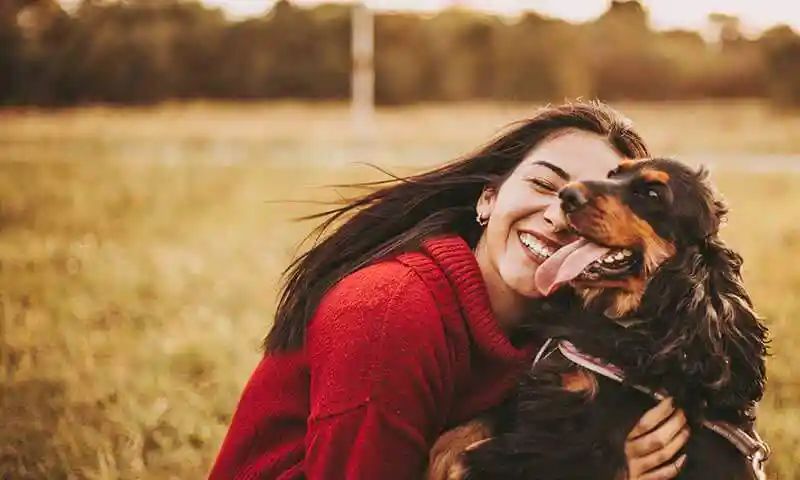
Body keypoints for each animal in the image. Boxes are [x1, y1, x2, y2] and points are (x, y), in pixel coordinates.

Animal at [428, 158, 772, 480]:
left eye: (652, 193)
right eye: (613, 174)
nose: (567, 196)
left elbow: (466, 460)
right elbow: (453, 438)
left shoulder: (582, 441)